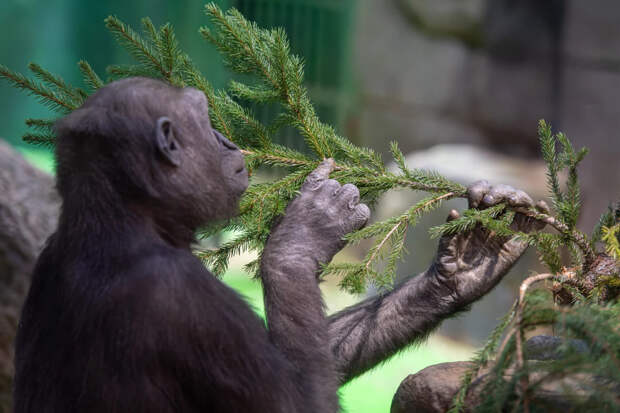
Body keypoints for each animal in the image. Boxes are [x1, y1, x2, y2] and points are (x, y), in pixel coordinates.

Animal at [13, 75, 548, 410]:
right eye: (203, 121)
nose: (229, 142)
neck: (130, 222)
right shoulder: (193, 307)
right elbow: (296, 401)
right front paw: (306, 231)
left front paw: (470, 259)